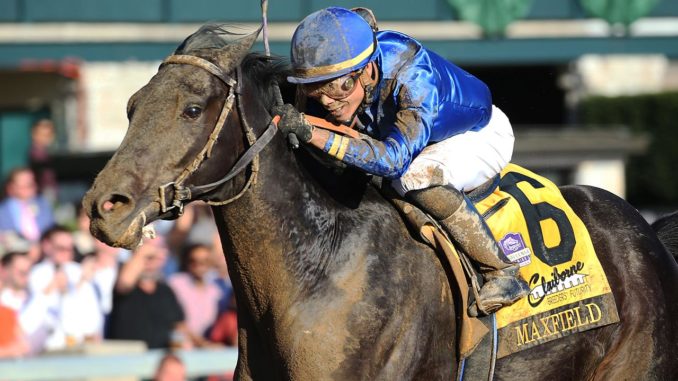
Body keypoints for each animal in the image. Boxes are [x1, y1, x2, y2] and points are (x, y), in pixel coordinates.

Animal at [81, 25, 678, 378]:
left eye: (192, 108)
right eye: (132, 105)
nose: (105, 207)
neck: (319, 269)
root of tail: (646, 232)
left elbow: (400, 157)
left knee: (421, 173)